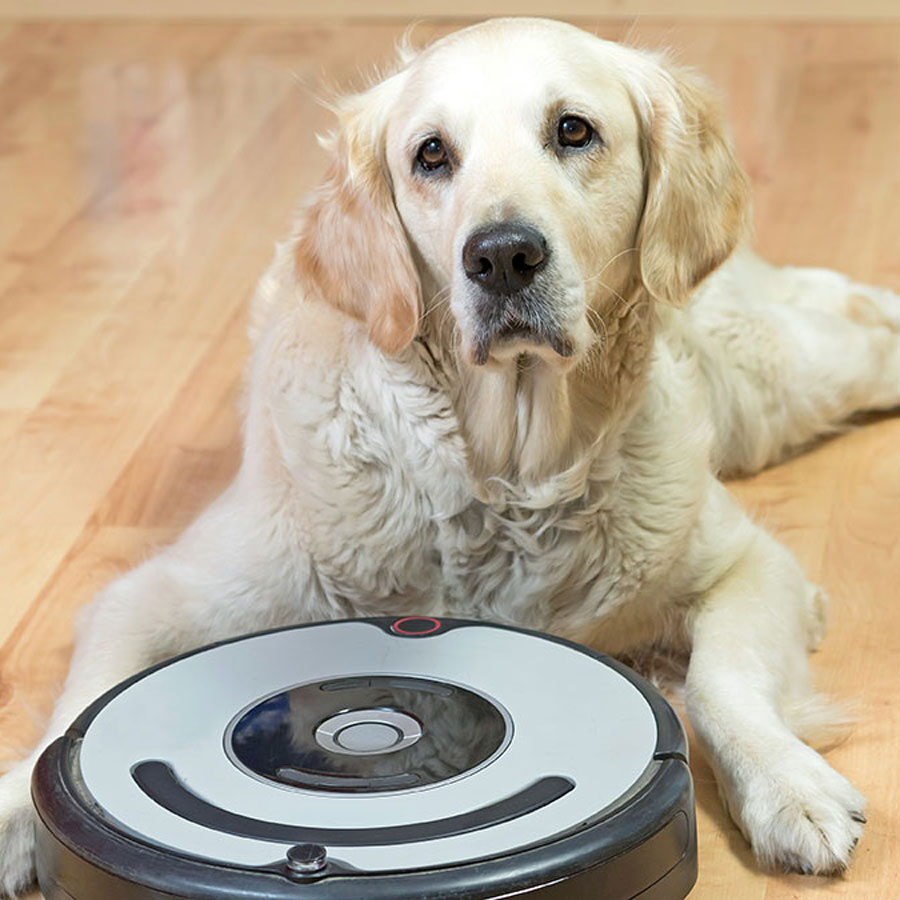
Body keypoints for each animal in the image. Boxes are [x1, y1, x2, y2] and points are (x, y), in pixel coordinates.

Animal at [1, 15, 900, 892]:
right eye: (430, 154)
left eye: (573, 130)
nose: (502, 255)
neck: (506, 481)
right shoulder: (155, 595)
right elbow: (77, 708)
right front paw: (16, 810)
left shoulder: (745, 565)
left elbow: (721, 682)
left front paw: (788, 785)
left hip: (774, 384)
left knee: (850, 325)